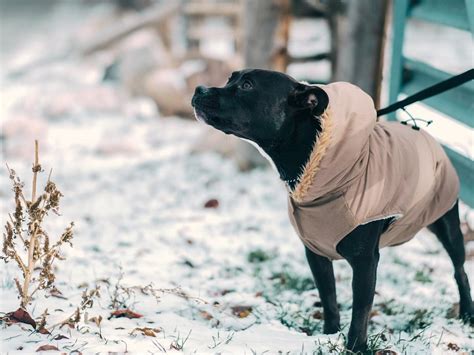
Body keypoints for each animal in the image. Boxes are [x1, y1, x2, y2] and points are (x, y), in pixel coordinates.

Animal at [191, 69, 472, 354]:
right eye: (230, 79)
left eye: (247, 86)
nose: (199, 89)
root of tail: (424, 133)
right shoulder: (316, 253)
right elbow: (329, 298)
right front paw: (329, 334)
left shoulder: (365, 261)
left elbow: (360, 310)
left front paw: (356, 347)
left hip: (447, 222)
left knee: (459, 270)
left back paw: (467, 314)